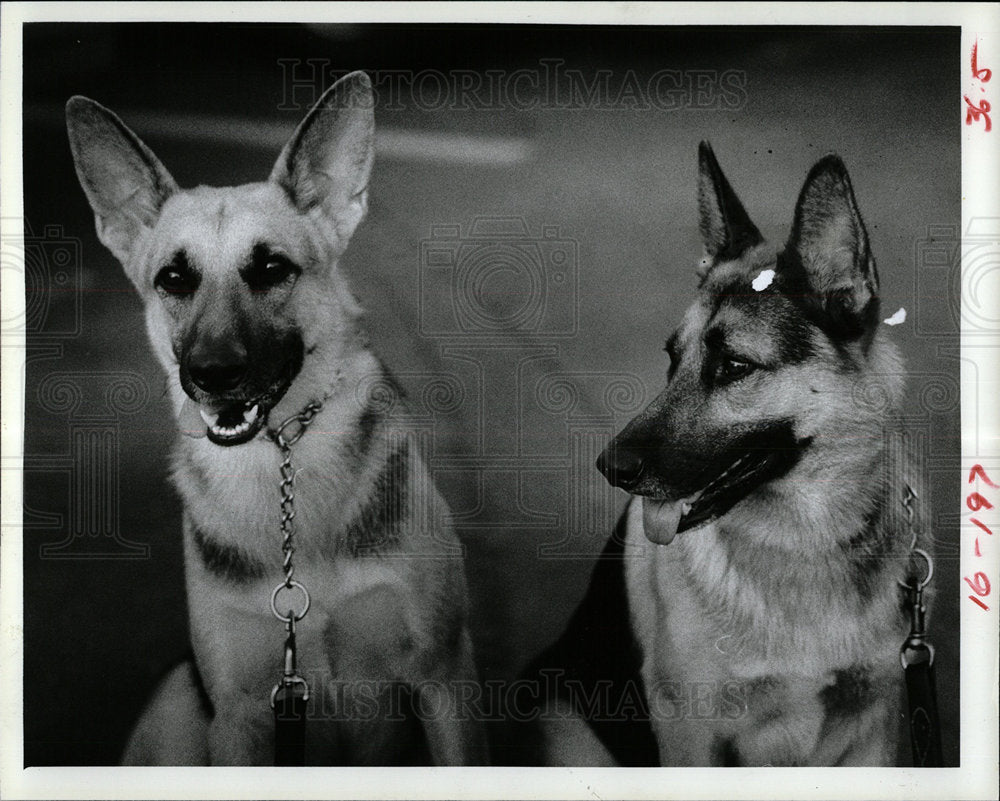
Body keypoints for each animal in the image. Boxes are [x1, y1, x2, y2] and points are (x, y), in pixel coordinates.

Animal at [64, 72, 486, 764]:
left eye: (271, 268)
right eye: (173, 278)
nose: (211, 374)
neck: (285, 465)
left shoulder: (444, 678)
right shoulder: (239, 717)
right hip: (177, 705)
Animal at [524, 145, 928, 768]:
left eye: (735, 366)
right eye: (672, 360)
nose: (610, 469)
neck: (802, 544)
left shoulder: (876, 727)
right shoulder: (690, 734)